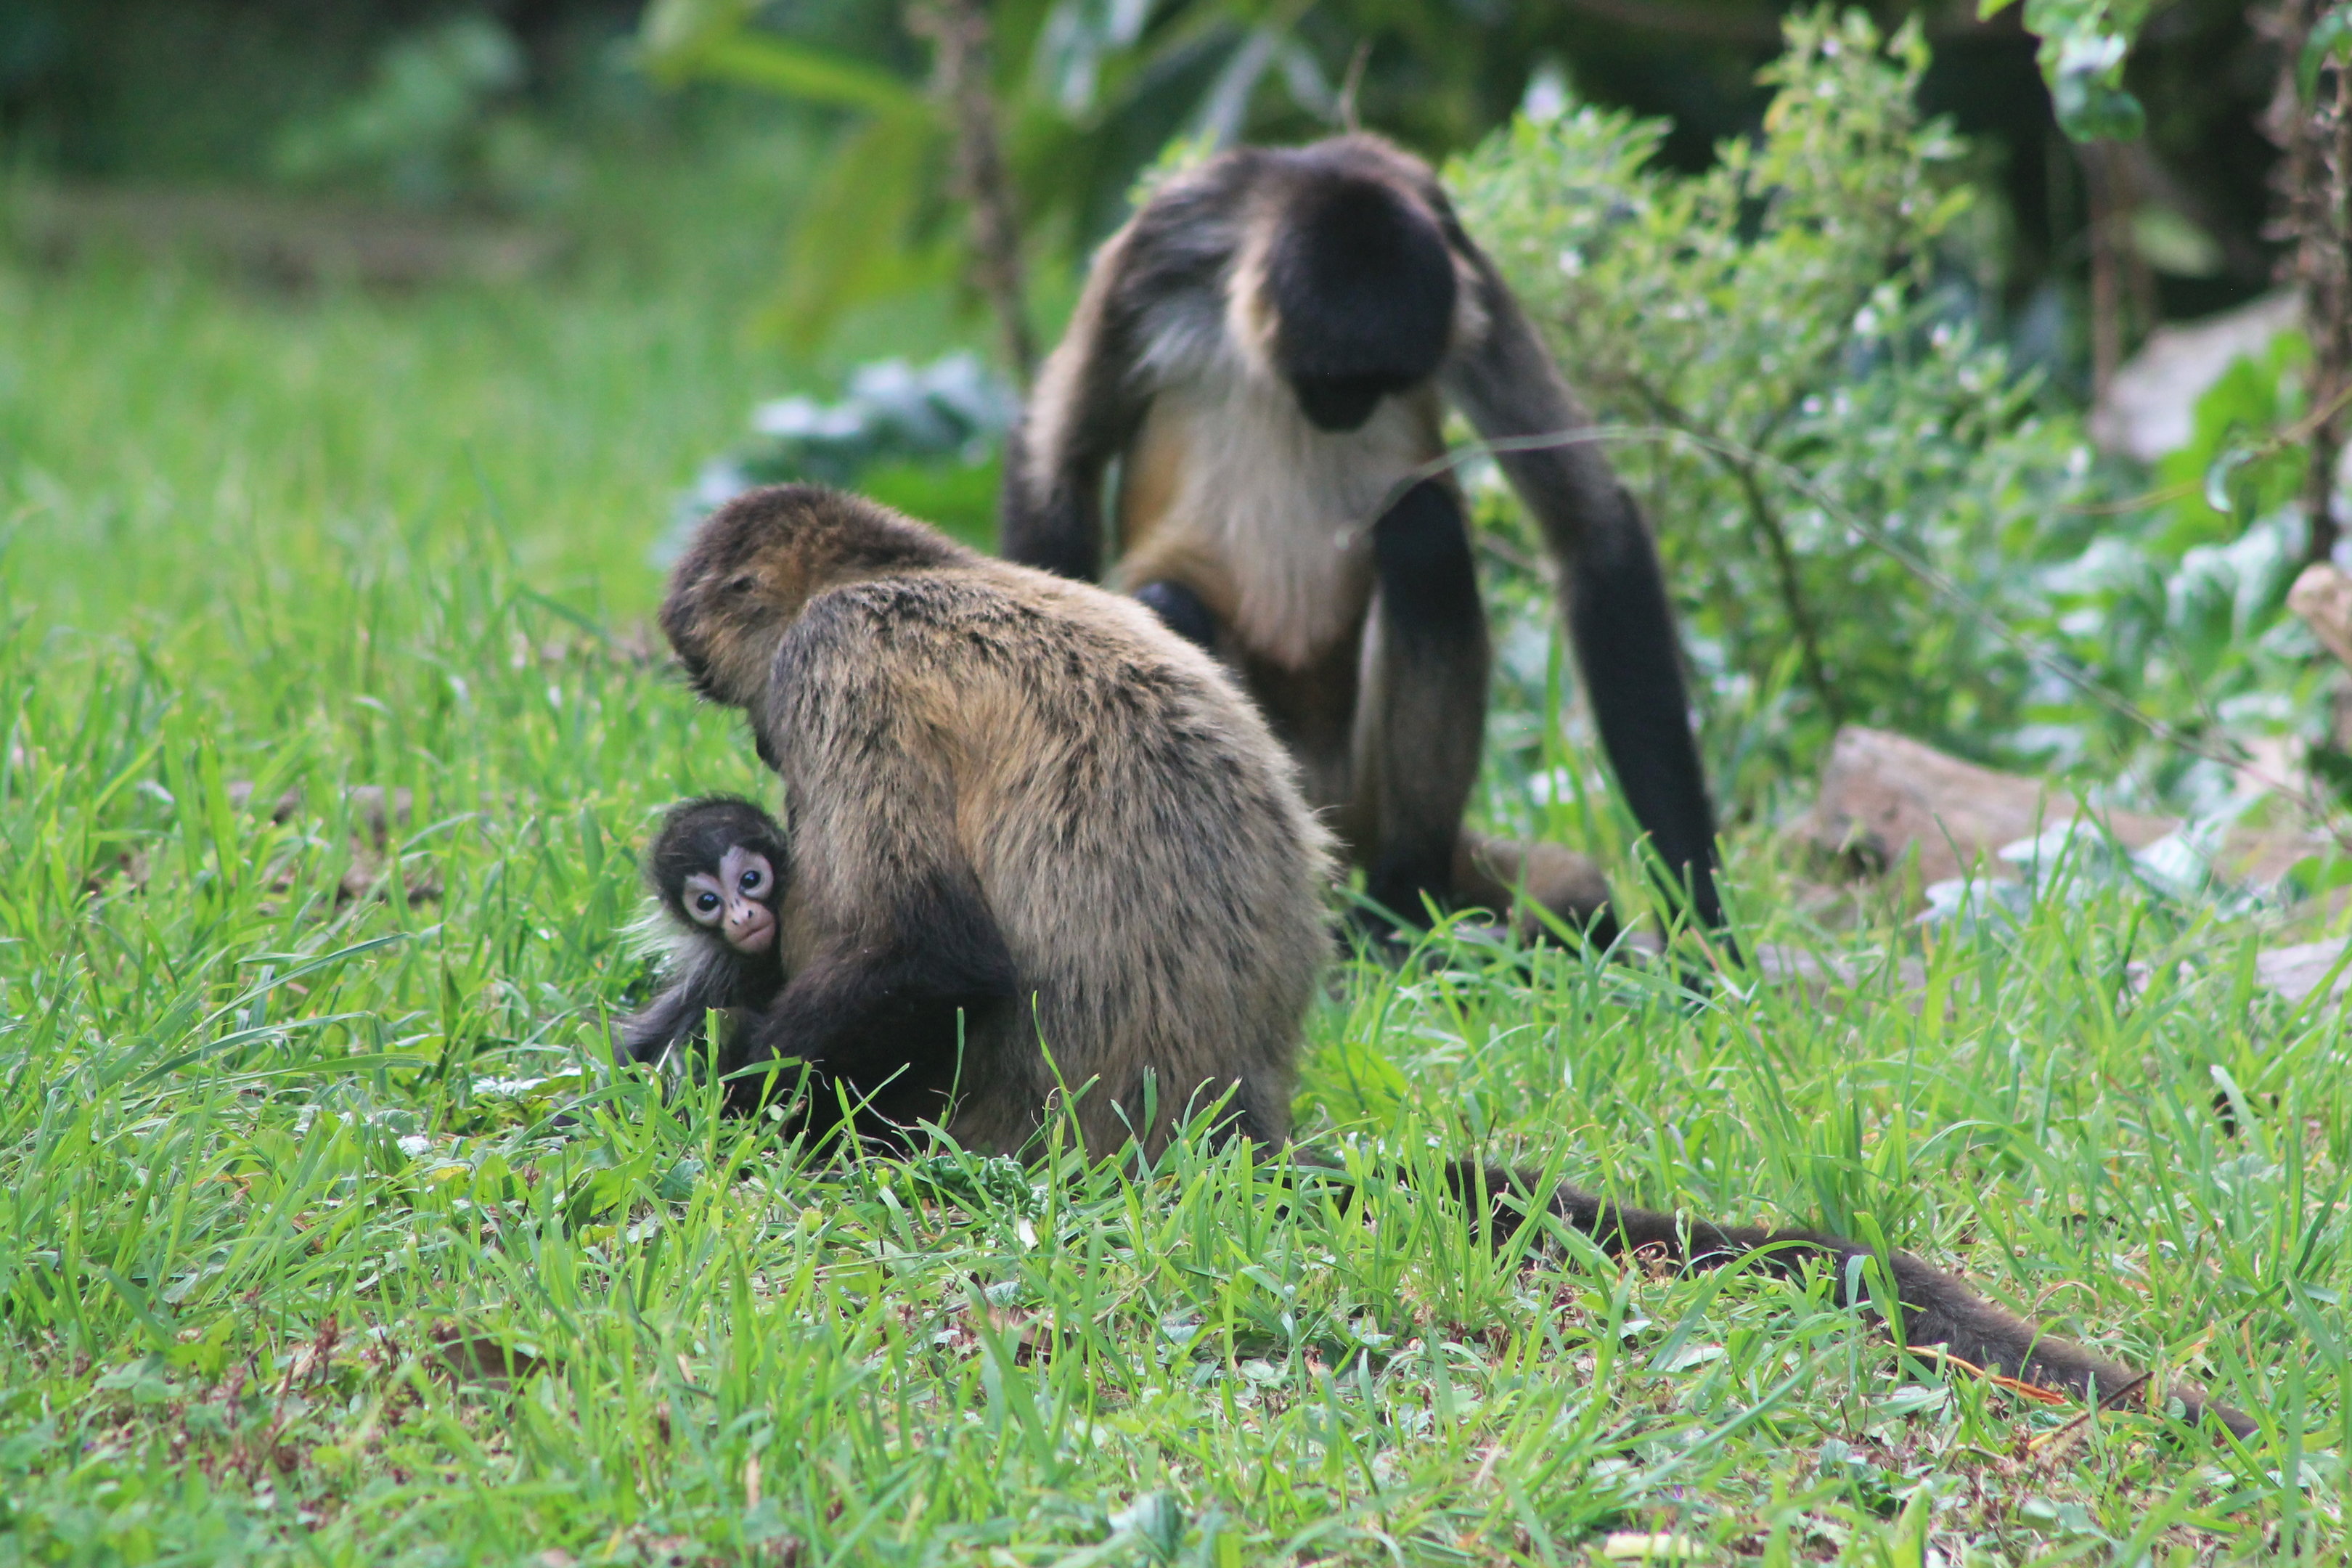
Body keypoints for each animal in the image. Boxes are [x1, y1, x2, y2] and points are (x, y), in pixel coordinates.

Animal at [1001, 133, 1718, 945]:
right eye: (1330, 381)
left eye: (1382, 382)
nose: (1344, 411)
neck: (1312, 176)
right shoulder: (1164, 241)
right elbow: (1057, 464)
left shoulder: (1450, 238)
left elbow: (1591, 525)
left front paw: (1703, 927)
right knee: (1169, 601)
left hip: (1360, 782)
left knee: (1424, 534)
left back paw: (1406, 902)